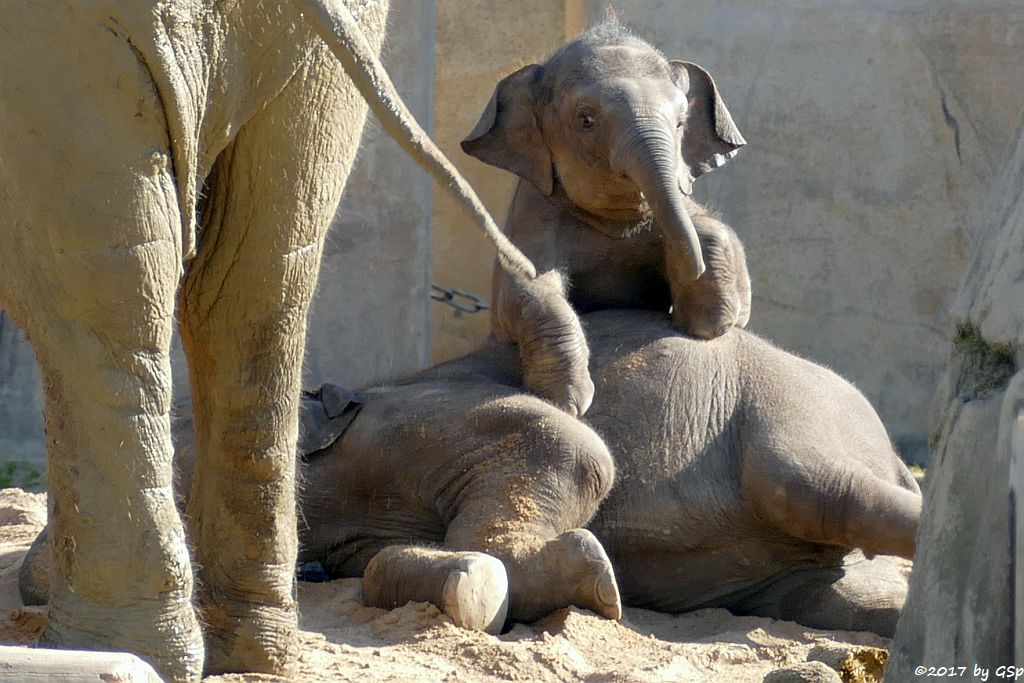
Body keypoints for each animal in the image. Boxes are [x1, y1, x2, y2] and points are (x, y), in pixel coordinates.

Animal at [22, 313, 921, 638]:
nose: (30, 577)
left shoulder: (417, 416)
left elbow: (571, 447)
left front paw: (582, 580)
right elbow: (378, 562)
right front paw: (491, 586)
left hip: (796, 416)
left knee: (826, 491)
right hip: (794, 568)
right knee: (832, 599)